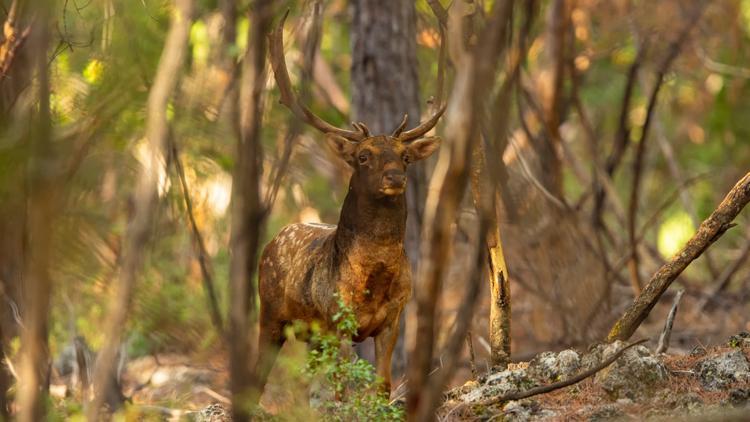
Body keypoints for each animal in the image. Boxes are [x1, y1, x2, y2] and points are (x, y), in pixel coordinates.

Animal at [256, 14, 450, 398]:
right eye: (363, 156)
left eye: (405, 157)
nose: (395, 176)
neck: (373, 280)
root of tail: (273, 240)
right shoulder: (336, 321)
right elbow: (342, 390)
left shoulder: (393, 318)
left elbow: (383, 384)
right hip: (270, 313)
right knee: (258, 375)